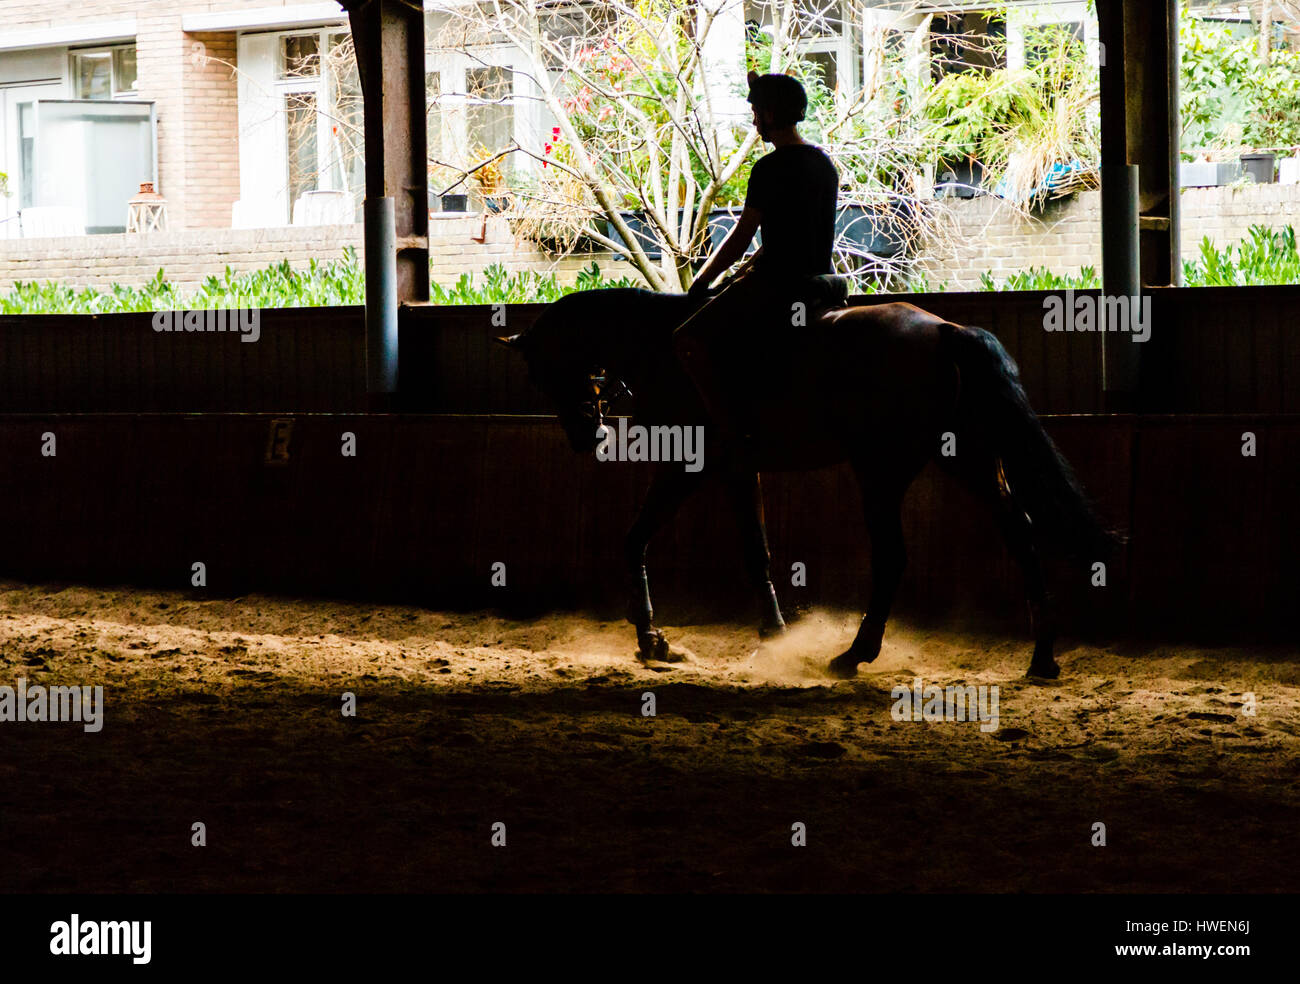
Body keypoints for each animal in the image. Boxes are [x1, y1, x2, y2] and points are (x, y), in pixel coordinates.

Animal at [496, 286, 1119, 679]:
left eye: (541, 372)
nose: (585, 435)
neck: (659, 347)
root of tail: (947, 330)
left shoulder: (689, 465)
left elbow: (638, 540)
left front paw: (655, 640)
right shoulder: (735, 469)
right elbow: (755, 550)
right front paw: (766, 634)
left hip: (881, 471)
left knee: (893, 555)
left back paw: (854, 655)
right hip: (967, 459)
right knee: (1021, 535)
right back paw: (1042, 658)